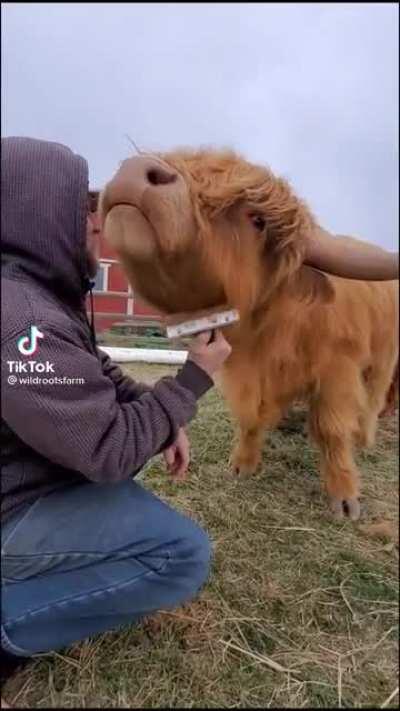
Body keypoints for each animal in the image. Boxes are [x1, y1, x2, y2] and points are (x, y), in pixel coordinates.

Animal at [99, 149, 398, 521]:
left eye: (258, 220)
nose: (137, 169)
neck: (269, 333)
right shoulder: (244, 372)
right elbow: (250, 416)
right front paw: (243, 464)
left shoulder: (337, 372)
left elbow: (331, 429)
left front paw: (343, 497)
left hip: (383, 357)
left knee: (374, 397)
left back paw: (365, 437)